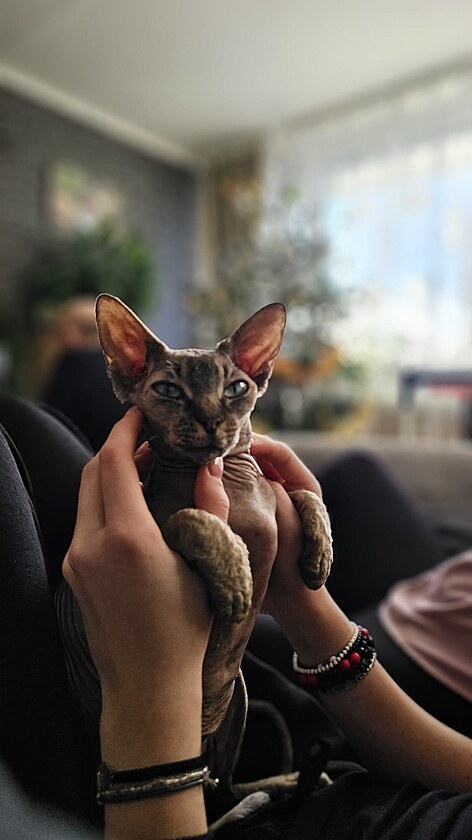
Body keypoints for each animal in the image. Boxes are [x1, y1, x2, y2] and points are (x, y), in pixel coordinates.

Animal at [55, 294, 333, 784]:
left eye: (236, 388)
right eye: (169, 391)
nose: (210, 419)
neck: (233, 485)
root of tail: (202, 739)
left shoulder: (273, 495)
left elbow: (303, 493)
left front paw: (320, 557)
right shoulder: (154, 523)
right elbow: (191, 516)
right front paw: (237, 577)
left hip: (239, 700)